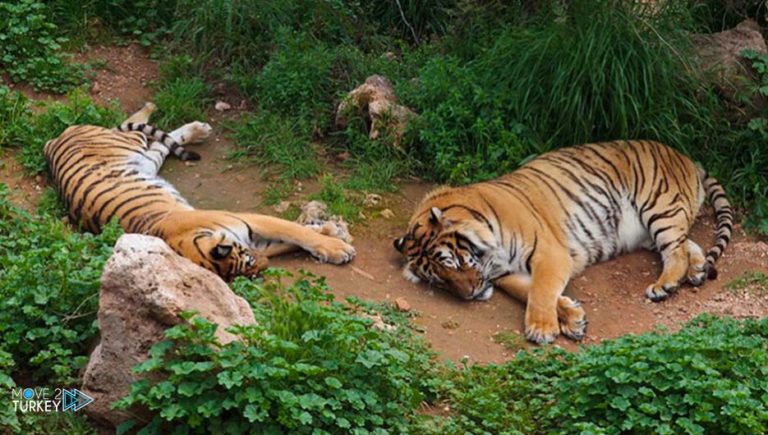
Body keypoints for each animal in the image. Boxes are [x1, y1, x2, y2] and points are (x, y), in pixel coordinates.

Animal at [46, 101, 358, 282]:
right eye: (249, 266)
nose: (265, 266)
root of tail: (52, 141)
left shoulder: (249, 221)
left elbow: (295, 231)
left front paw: (333, 238)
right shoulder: (254, 237)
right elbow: (291, 237)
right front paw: (334, 240)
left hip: (132, 145)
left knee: (135, 126)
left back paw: (164, 112)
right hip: (143, 157)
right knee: (158, 141)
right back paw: (194, 128)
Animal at [396, 141, 732, 346]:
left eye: (452, 263)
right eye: (441, 280)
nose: (470, 295)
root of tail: (684, 156)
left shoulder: (549, 252)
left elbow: (541, 290)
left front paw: (542, 329)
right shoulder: (505, 274)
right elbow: (527, 291)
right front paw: (573, 317)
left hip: (659, 206)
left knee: (676, 249)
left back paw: (665, 285)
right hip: (654, 229)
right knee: (688, 244)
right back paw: (697, 271)